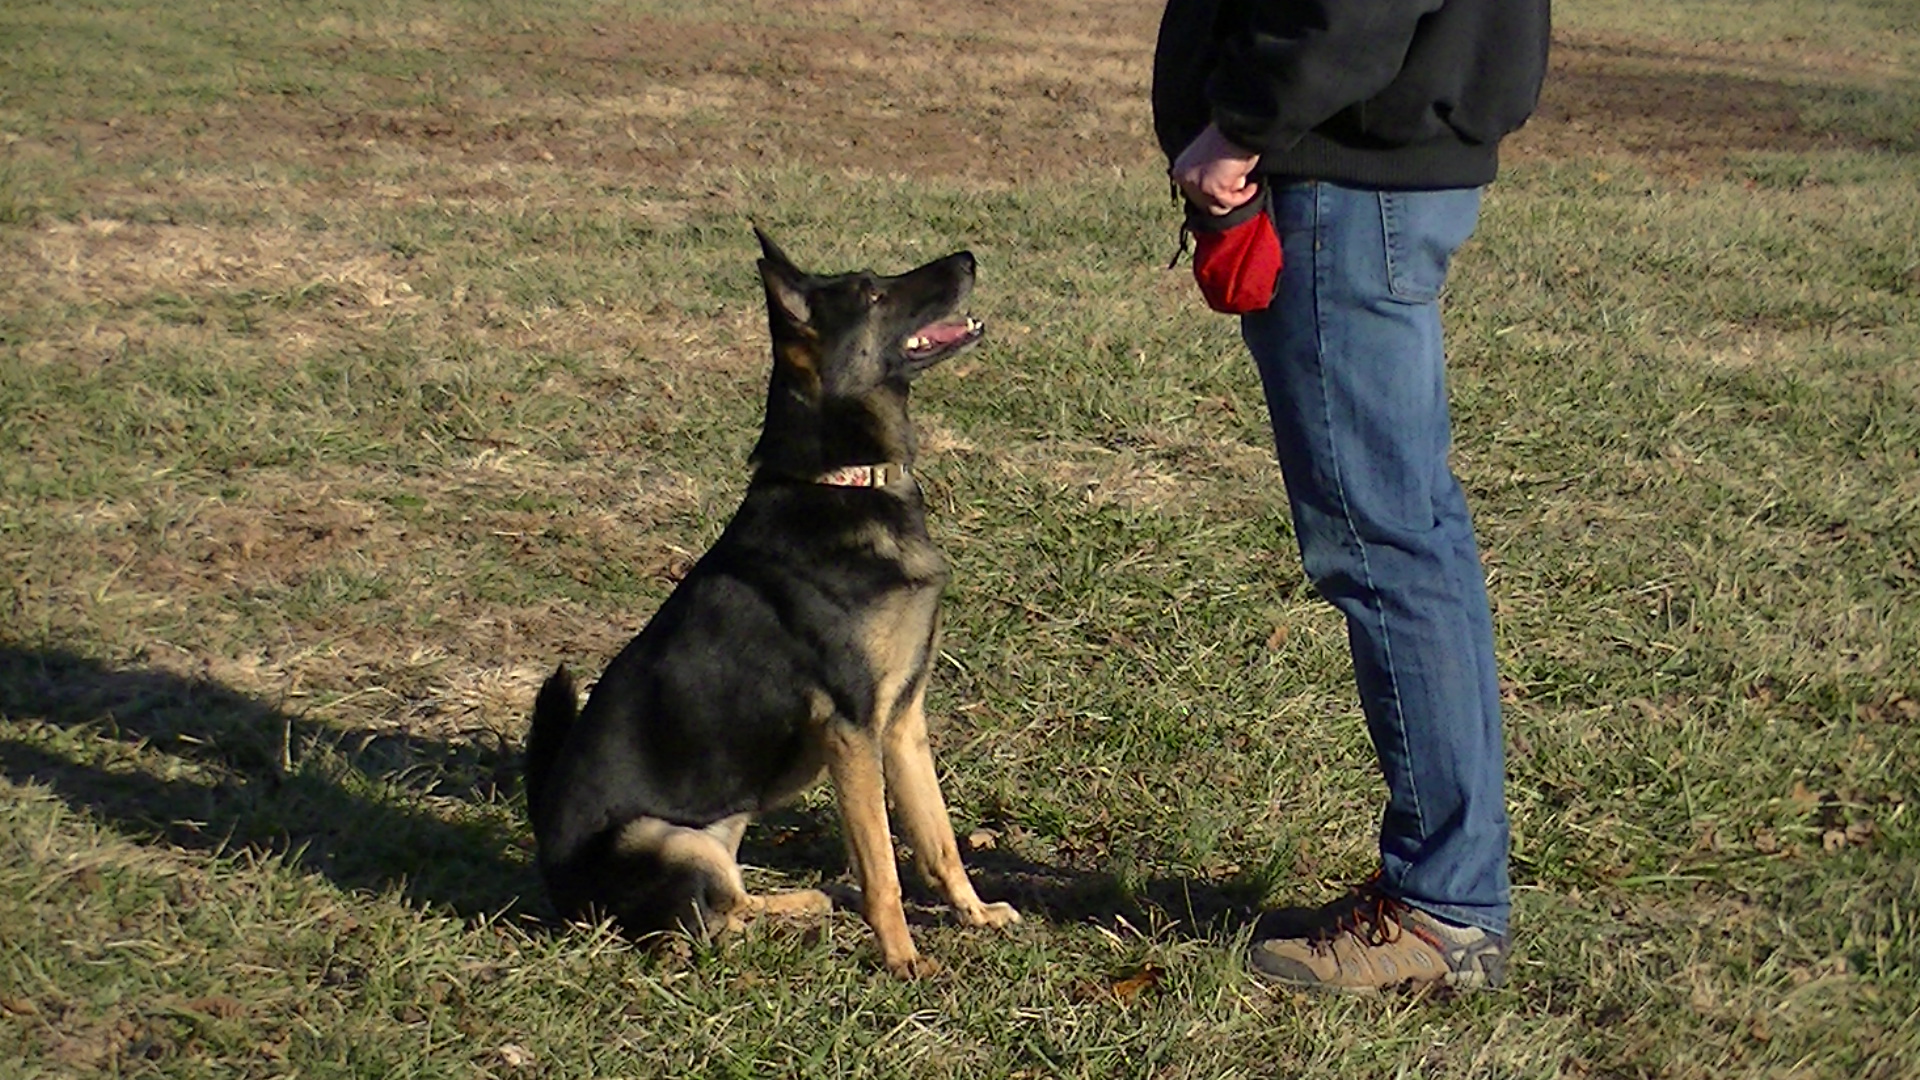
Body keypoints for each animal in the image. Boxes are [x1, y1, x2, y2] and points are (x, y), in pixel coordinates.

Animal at [518, 231, 1013, 972]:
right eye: (874, 293)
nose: (968, 258)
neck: (844, 479)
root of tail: (557, 890)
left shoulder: (902, 722)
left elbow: (939, 841)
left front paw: (974, 914)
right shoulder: (851, 731)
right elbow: (883, 868)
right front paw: (901, 958)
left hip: (720, 826)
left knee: (730, 900)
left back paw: (805, 902)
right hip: (666, 839)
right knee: (702, 929)